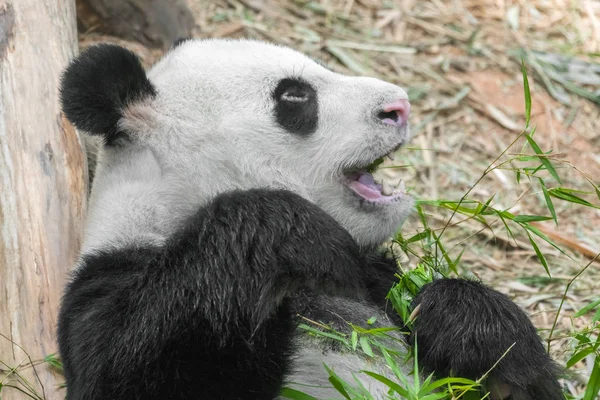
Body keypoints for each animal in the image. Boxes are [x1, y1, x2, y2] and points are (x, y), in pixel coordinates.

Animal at [55, 38, 564, 400]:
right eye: (295, 96)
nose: (398, 107)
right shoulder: (111, 282)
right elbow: (129, 372)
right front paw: (302, 236)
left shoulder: (377, 285)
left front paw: (461, 321)